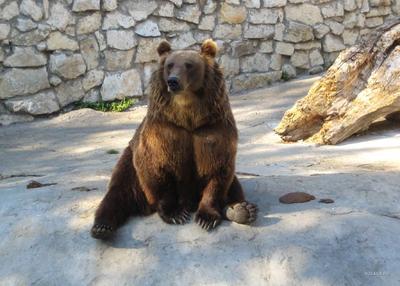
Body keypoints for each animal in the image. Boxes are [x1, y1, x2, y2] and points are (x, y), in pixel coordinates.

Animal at [91, 38, 258, 239]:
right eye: (170, 65)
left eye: (189, 65)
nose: (173, 81)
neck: (188, 116)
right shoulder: (163, 133)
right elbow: (157, 170)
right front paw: (175, 214)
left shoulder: (213, 131)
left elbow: (218, 170)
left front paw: (207, 217)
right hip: (129, 163)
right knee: (119, 191)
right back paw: (102, 227)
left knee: (234, 186)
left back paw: (241, 209)